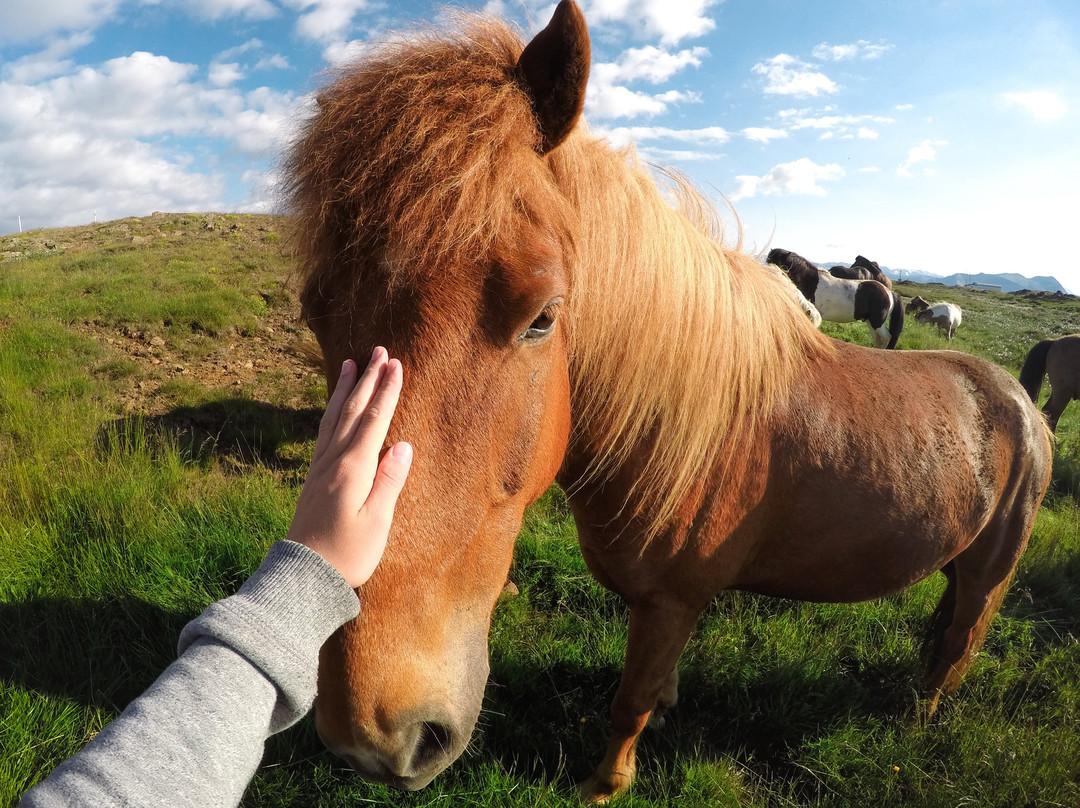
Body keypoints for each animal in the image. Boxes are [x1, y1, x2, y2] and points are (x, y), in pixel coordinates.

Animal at [768, 247, 904, 349]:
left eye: (774, 261)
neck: (811, 281)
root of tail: (890, 293)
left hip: (877, 323)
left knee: (887, 338)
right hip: (870, 322)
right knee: (879, 341)